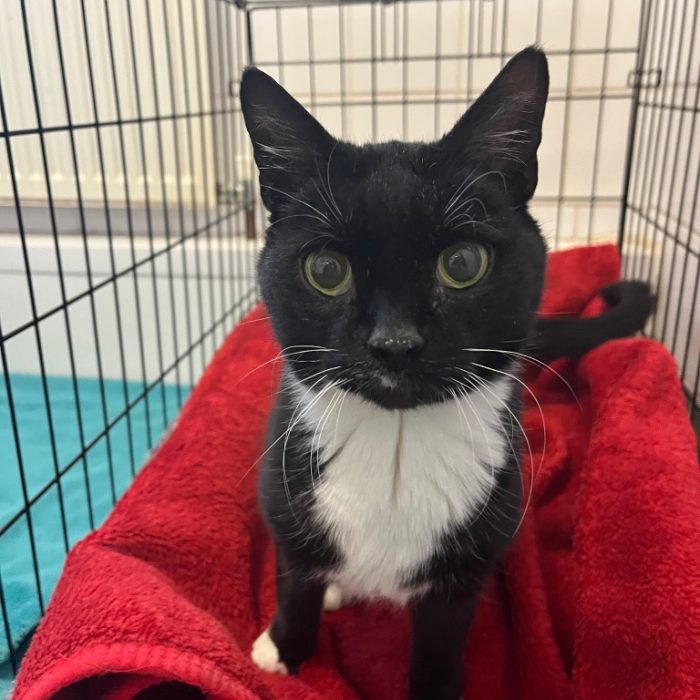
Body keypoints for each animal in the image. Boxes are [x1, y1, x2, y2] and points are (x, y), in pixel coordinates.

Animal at [239, 47, 653, 700]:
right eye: (326, 270)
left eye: (462, 263)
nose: (394, 343)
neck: (395, 446)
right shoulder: (284, 490)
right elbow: (295, 578)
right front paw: (283, 648)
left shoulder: (467, 563)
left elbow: (439, 643)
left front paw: (433, 686)